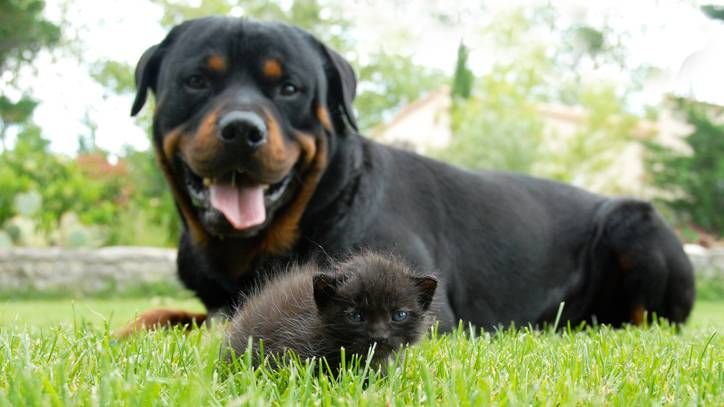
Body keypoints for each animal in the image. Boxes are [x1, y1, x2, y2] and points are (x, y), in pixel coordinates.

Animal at [130, 16, 696, 334]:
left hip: (635, 223)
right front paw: (138, 325)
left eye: (289, 88)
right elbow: (173, 315)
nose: (242, 130)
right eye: (196, 80)